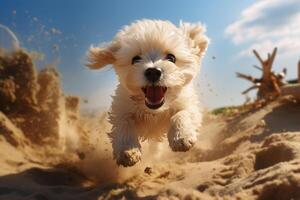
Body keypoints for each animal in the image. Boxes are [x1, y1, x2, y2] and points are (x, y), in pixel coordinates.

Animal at [86, 19, 209, 166]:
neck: (154, 112)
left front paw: (181, 136)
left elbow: (182, 114)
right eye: (135, 59)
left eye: (171, 57)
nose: (153, 72)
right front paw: (128, 150)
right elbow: (124, 123)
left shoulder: (187, 103)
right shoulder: (121, 107)